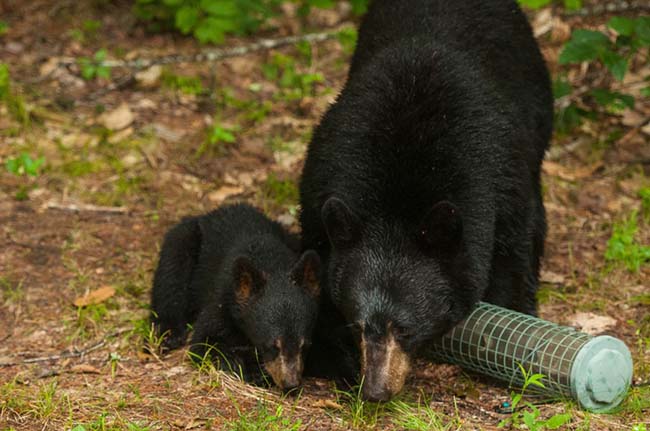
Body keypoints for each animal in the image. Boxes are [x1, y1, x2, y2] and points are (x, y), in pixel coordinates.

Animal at [147, 203, 318, 392]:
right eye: (271, 345)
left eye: (305, 345)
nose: (290, 384)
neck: (268, 260)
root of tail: (211, 212)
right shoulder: (223, 299)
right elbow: (204, 343)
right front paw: (250, 369)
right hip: (183, 239)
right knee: (171, 274)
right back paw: (168, 334)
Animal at [302, 0, 548, 402]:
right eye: (358, 325)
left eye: (404, 328)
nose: (376, 391)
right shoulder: (320, 182)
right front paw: (340, 358)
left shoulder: (500, 177)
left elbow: (514, 254)